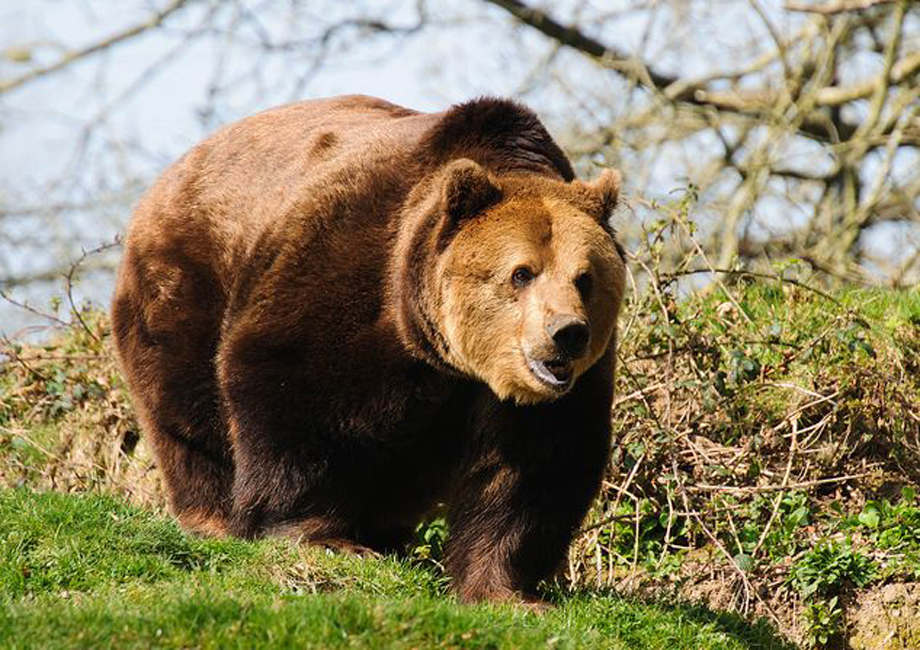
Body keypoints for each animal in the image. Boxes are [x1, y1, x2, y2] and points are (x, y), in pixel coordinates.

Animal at [111, 94, 626, 605]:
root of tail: (180, 165)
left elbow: (528, 471)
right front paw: (323, 538)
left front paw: (507, 591)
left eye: (585, 278)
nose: (567, 332)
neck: (443, 355)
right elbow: (297, 397)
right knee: (190, 408)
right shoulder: (353, 271)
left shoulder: (544, 396)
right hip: (189, 276)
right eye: (521, 273)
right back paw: (212, 518)